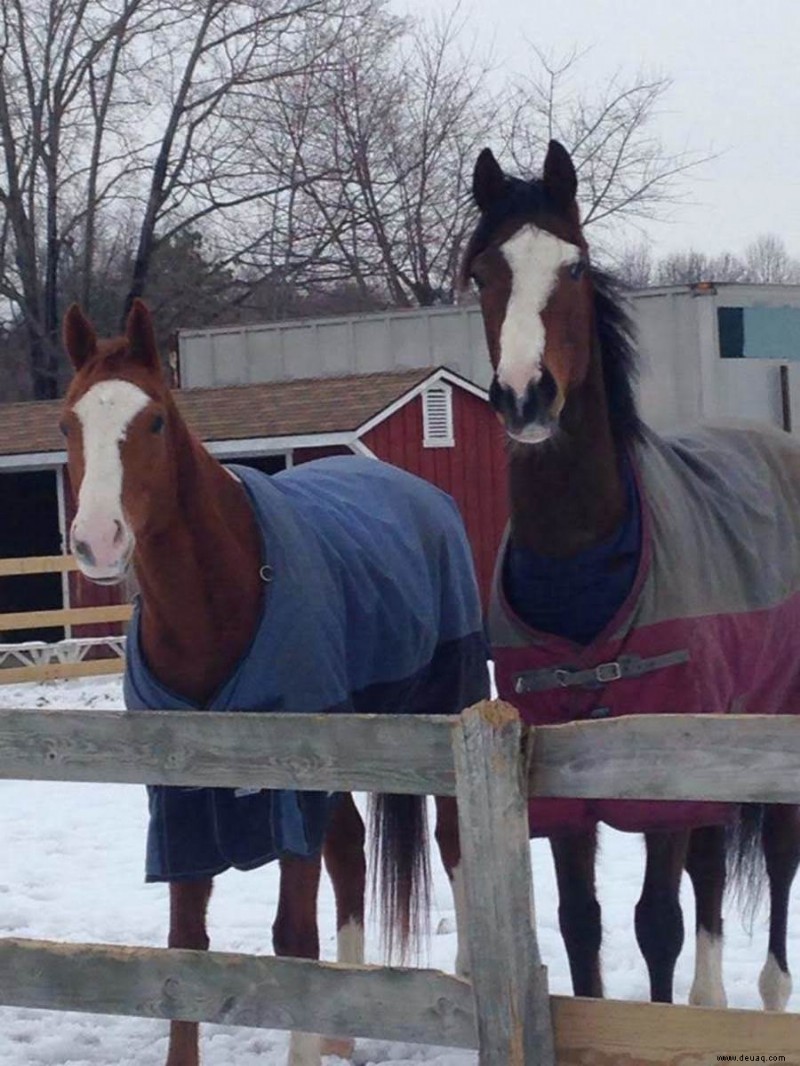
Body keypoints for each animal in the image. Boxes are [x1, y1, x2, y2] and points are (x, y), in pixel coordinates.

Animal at [59, 300, 488, 1066]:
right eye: (67, 425)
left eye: (155, 420)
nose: (97, 541)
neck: (220, 604)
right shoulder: (180, 800)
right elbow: (185, 949)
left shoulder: (290, 794)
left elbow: (294, 940)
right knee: (349, 850)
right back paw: (343, 1028)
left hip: (445, 712)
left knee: (453, 841)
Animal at [456, 141, 800, 1006]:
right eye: (482, 271)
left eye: (574, 266)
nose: (525, 396)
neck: (584, 572)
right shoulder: (562, 797)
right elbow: (583, 924)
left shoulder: (655, 787)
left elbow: (657, 926)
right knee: (713, 866)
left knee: (777, 854)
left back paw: (770, 990)